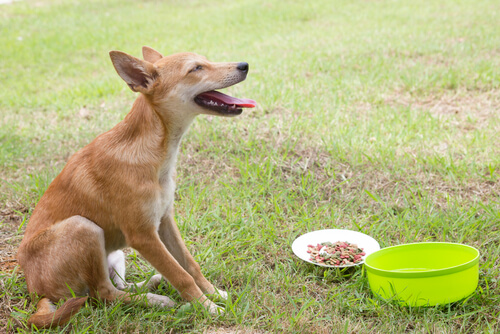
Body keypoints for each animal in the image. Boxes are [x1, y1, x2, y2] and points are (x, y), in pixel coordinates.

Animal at [17, 47, 256, 328]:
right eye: (196, 68)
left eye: (205, 61)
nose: (245, 65)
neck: (156, 153)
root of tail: (36, 293)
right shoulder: (143, 236)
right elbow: (181, 275)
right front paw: (208, 308)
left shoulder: (164, 221)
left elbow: (189, 265)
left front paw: (214, 293)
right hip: (83, 227)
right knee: (103, 294)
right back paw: (157, 300)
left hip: (115, 254)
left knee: (118, 286)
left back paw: (150, 286)